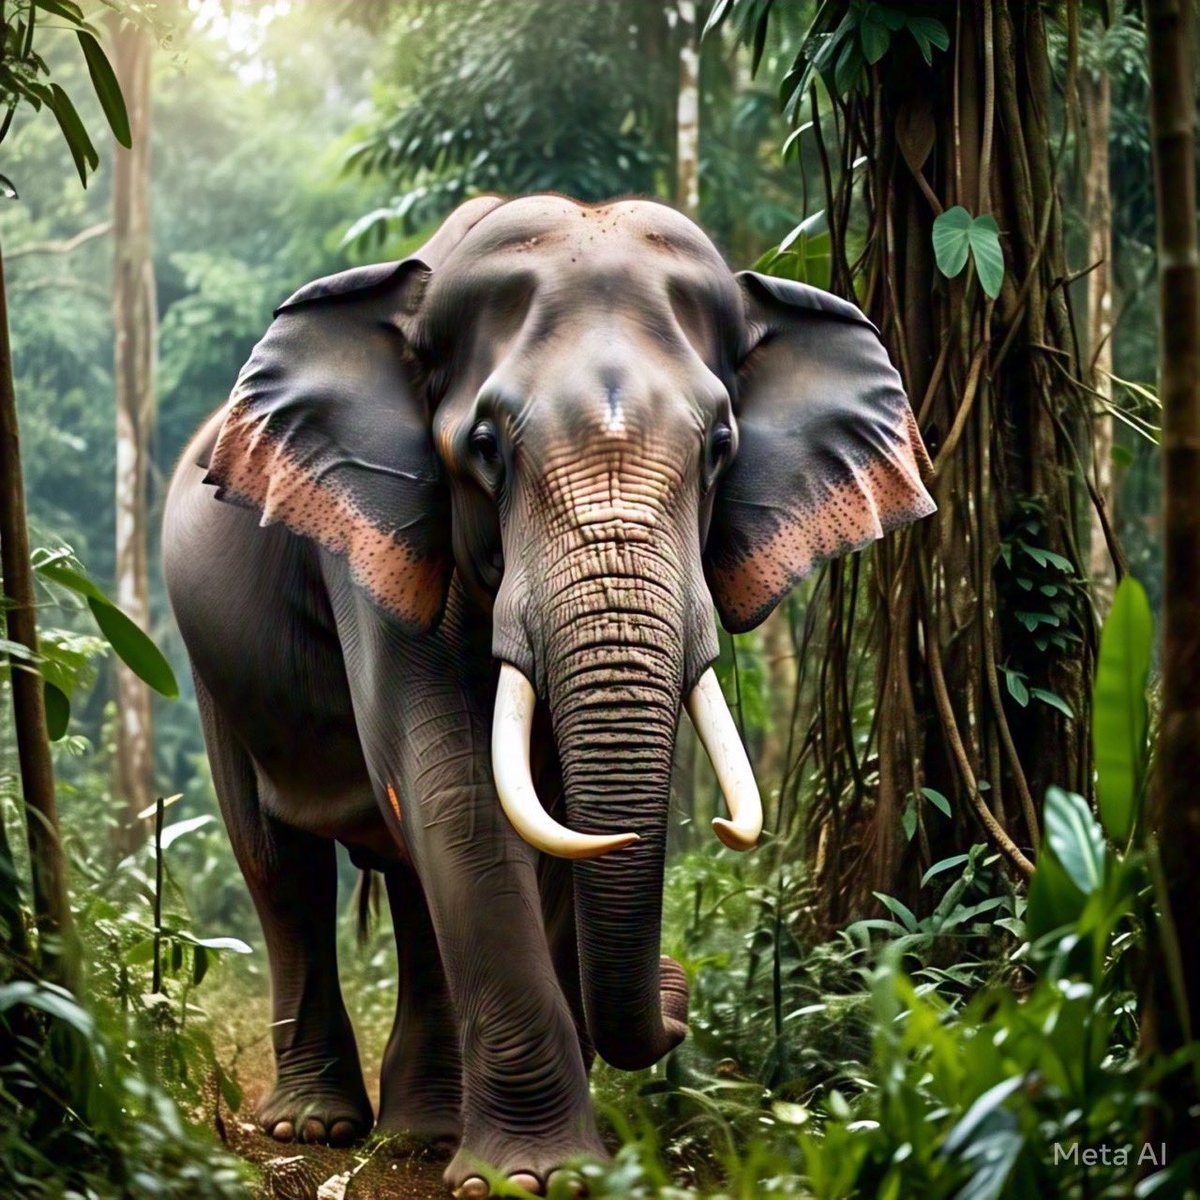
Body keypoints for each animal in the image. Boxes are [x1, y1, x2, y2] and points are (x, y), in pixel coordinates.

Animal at [162, 193, 935, 1197]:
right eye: (486, 448)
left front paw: (551, 1166)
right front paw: (540, 1176)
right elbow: (453, 789)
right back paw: (318, 1127)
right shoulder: (377, 531)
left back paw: (417, 1136)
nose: (679, 986)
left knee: (404, 879)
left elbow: (539, 817)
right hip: (210, 661)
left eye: (722, 446)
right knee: (279, 862)